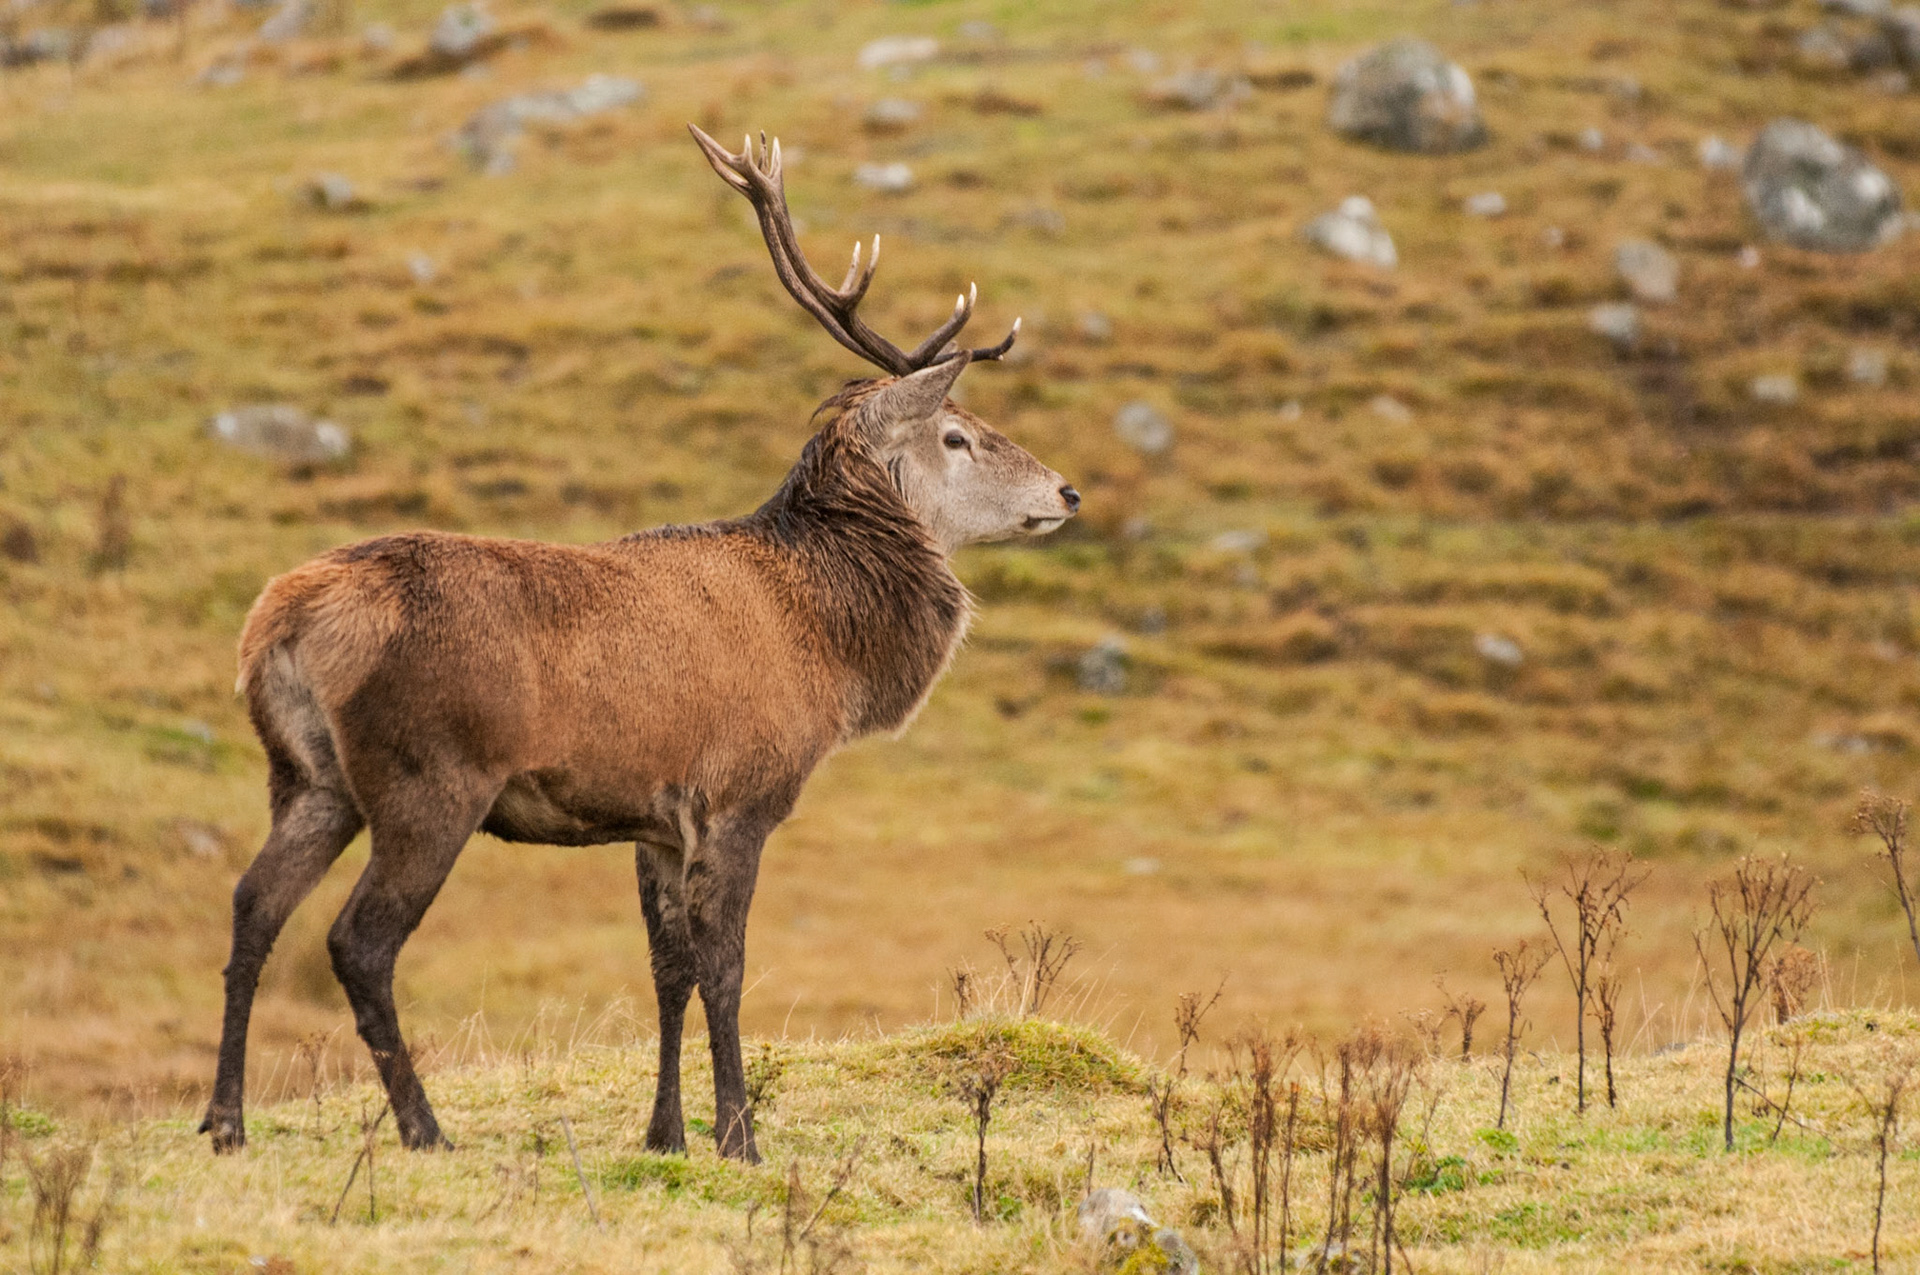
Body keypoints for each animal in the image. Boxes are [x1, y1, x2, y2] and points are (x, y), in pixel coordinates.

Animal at [198, 126, 1079, 1163]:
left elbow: (668, 971)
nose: (1067, 491)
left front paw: (665, 1133)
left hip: (308, 777)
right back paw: (423, 1128)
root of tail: (279, 623)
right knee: (357, 940)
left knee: (252, 903)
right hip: (429, 776)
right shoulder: (741, 794)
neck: (827, 646)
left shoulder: (655, 819)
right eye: (957, 434)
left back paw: (225, 1120)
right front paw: (740, 1137)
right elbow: (726, 968)